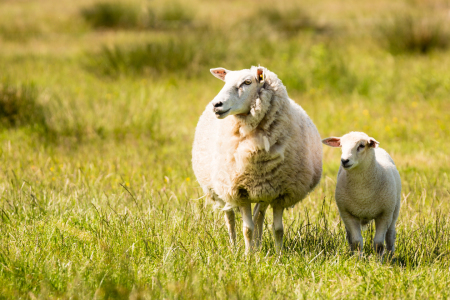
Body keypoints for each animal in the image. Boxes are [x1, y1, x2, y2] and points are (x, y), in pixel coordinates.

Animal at [192, 65, 322, 253]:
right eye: (225, 81)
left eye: (247, 82)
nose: (216, 105)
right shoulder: (239, 191)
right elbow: (247, 228)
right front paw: (247, 255)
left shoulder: (280, 192)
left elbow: (277, 229)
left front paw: (279, 255)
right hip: (221, 188)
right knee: (230, 217)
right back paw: (235, 247)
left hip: (264, 190)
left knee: (258, 216)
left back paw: (258, 246)